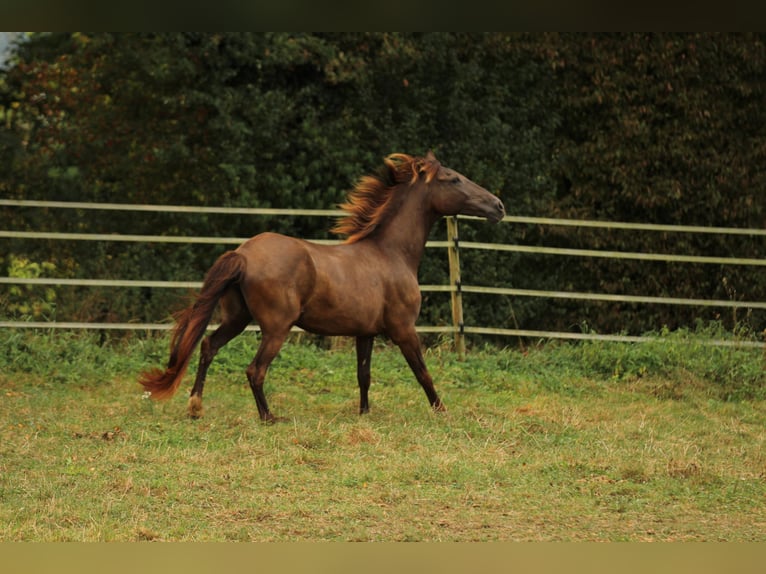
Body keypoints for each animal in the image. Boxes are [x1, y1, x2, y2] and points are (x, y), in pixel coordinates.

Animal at [140, 152, 508, 424]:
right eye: (453, 178)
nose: (498, 206)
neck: (391, 253)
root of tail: (243, 253)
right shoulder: (403, 329)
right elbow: (423, 373)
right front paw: (442, 412)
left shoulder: (365, 333)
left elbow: (364, 375)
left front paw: (364, 413)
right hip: (276, 328)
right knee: (255, 369)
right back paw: (269, 417)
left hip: (237, 318)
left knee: (207, 347)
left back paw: (195, 407)